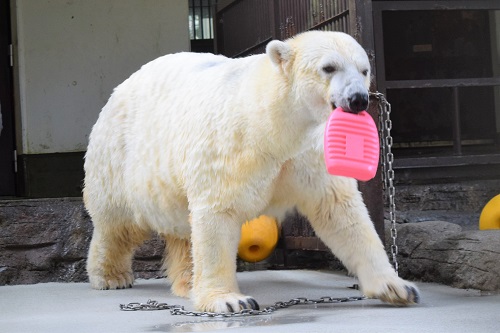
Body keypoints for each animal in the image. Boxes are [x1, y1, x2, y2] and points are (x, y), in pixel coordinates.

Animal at [84, 31, 420, 312]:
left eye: (364, 70)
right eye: (329, 67)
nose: (358, 99)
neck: (274, 126)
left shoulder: (308, 153)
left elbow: (340, 212)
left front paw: (397, 287)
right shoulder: (233, 146)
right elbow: (218, 211)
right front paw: (230, 300)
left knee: (180, 227)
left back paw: (186, 282)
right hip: (122, 159)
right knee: (118, 222)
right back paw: (111, 276)